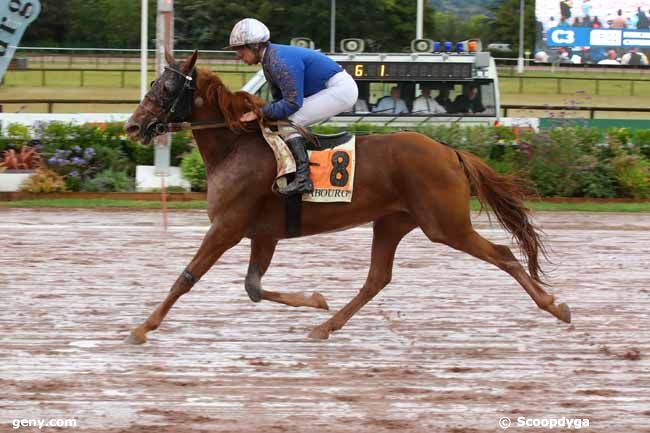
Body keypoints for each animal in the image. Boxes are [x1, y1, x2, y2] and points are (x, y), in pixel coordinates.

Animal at [121, 50, 568, 342]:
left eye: (166, 86)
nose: (132, 126)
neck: (236, 146)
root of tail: (449, 151)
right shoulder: (263, 233)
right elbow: (253, 287)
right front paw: (317, 300)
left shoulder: (227, 227)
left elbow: (187, 277)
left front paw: (143, 327)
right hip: (393, 222)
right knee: (377, 278)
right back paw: (325, 325)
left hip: (445, 225)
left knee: (503, 254)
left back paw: (556, 306)